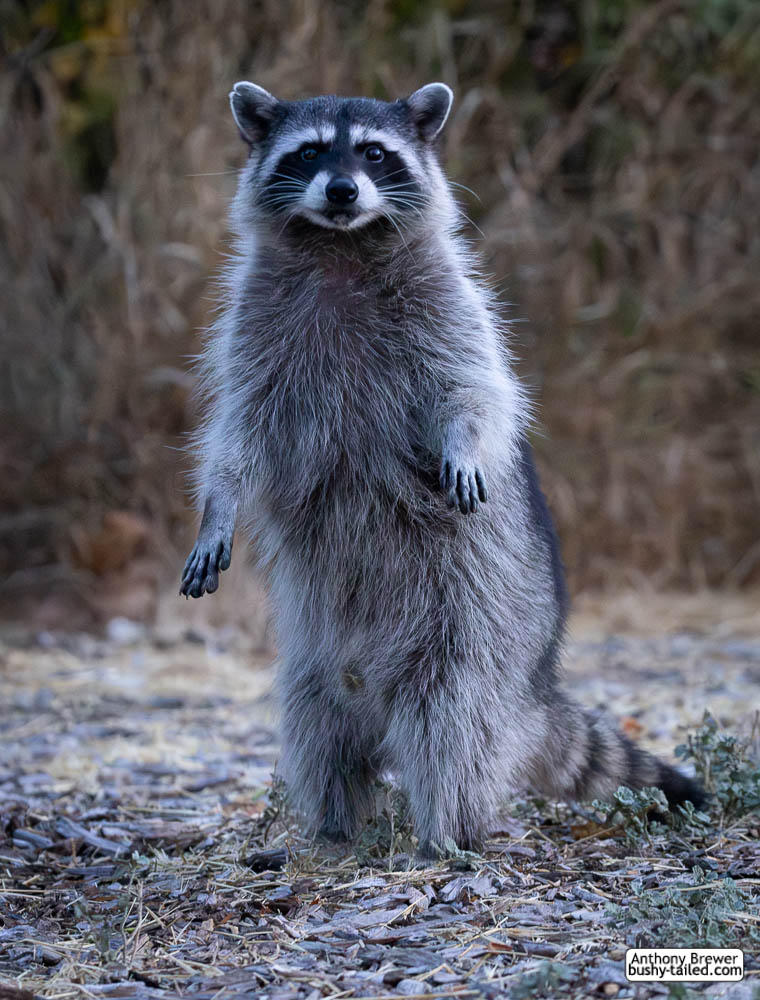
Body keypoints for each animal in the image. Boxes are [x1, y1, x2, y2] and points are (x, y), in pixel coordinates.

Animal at [180, 81, 703, 855]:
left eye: (374, 153)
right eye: (308, 152)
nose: (341, 190)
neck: (342, 244)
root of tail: (533, 683)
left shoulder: (450, 302)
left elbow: (475, 388)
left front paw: (463, 440)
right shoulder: (253, 329)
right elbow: (236, 436)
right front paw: (217, 507)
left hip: (477, 632)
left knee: (451, 726)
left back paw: (448, 833)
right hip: (316, 662)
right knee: (316, 727)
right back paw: (333, 828)